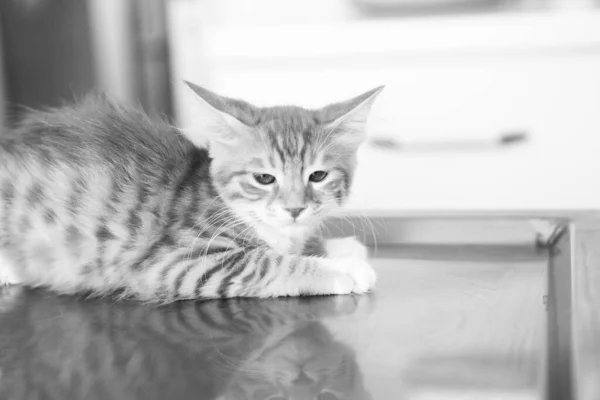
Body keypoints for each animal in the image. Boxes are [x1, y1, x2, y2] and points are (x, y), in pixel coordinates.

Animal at [0, 83, 384, 302]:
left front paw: (339, 247)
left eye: (318, 176)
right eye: (264, 178)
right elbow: (267, 262)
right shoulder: (173, 261)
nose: (294, 209)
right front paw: (343, 268)